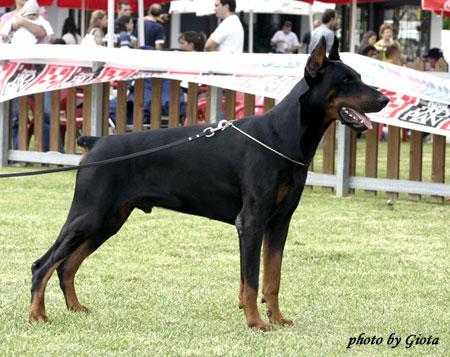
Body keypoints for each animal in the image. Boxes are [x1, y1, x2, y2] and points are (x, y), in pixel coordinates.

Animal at [28, 37, 388, 330]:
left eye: (359, 76)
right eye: (346, 81)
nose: (384, 100)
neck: (283, 136)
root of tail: (97, 142)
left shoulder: (280, 222)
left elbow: (272, 278)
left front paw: (277, 318)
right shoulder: (251, 221)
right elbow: (252, 280)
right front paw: (256, 323)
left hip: (110, 220)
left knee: (66, 265)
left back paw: (75, 307)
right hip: (90, 214)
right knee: (43, 264)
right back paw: (37, 315)